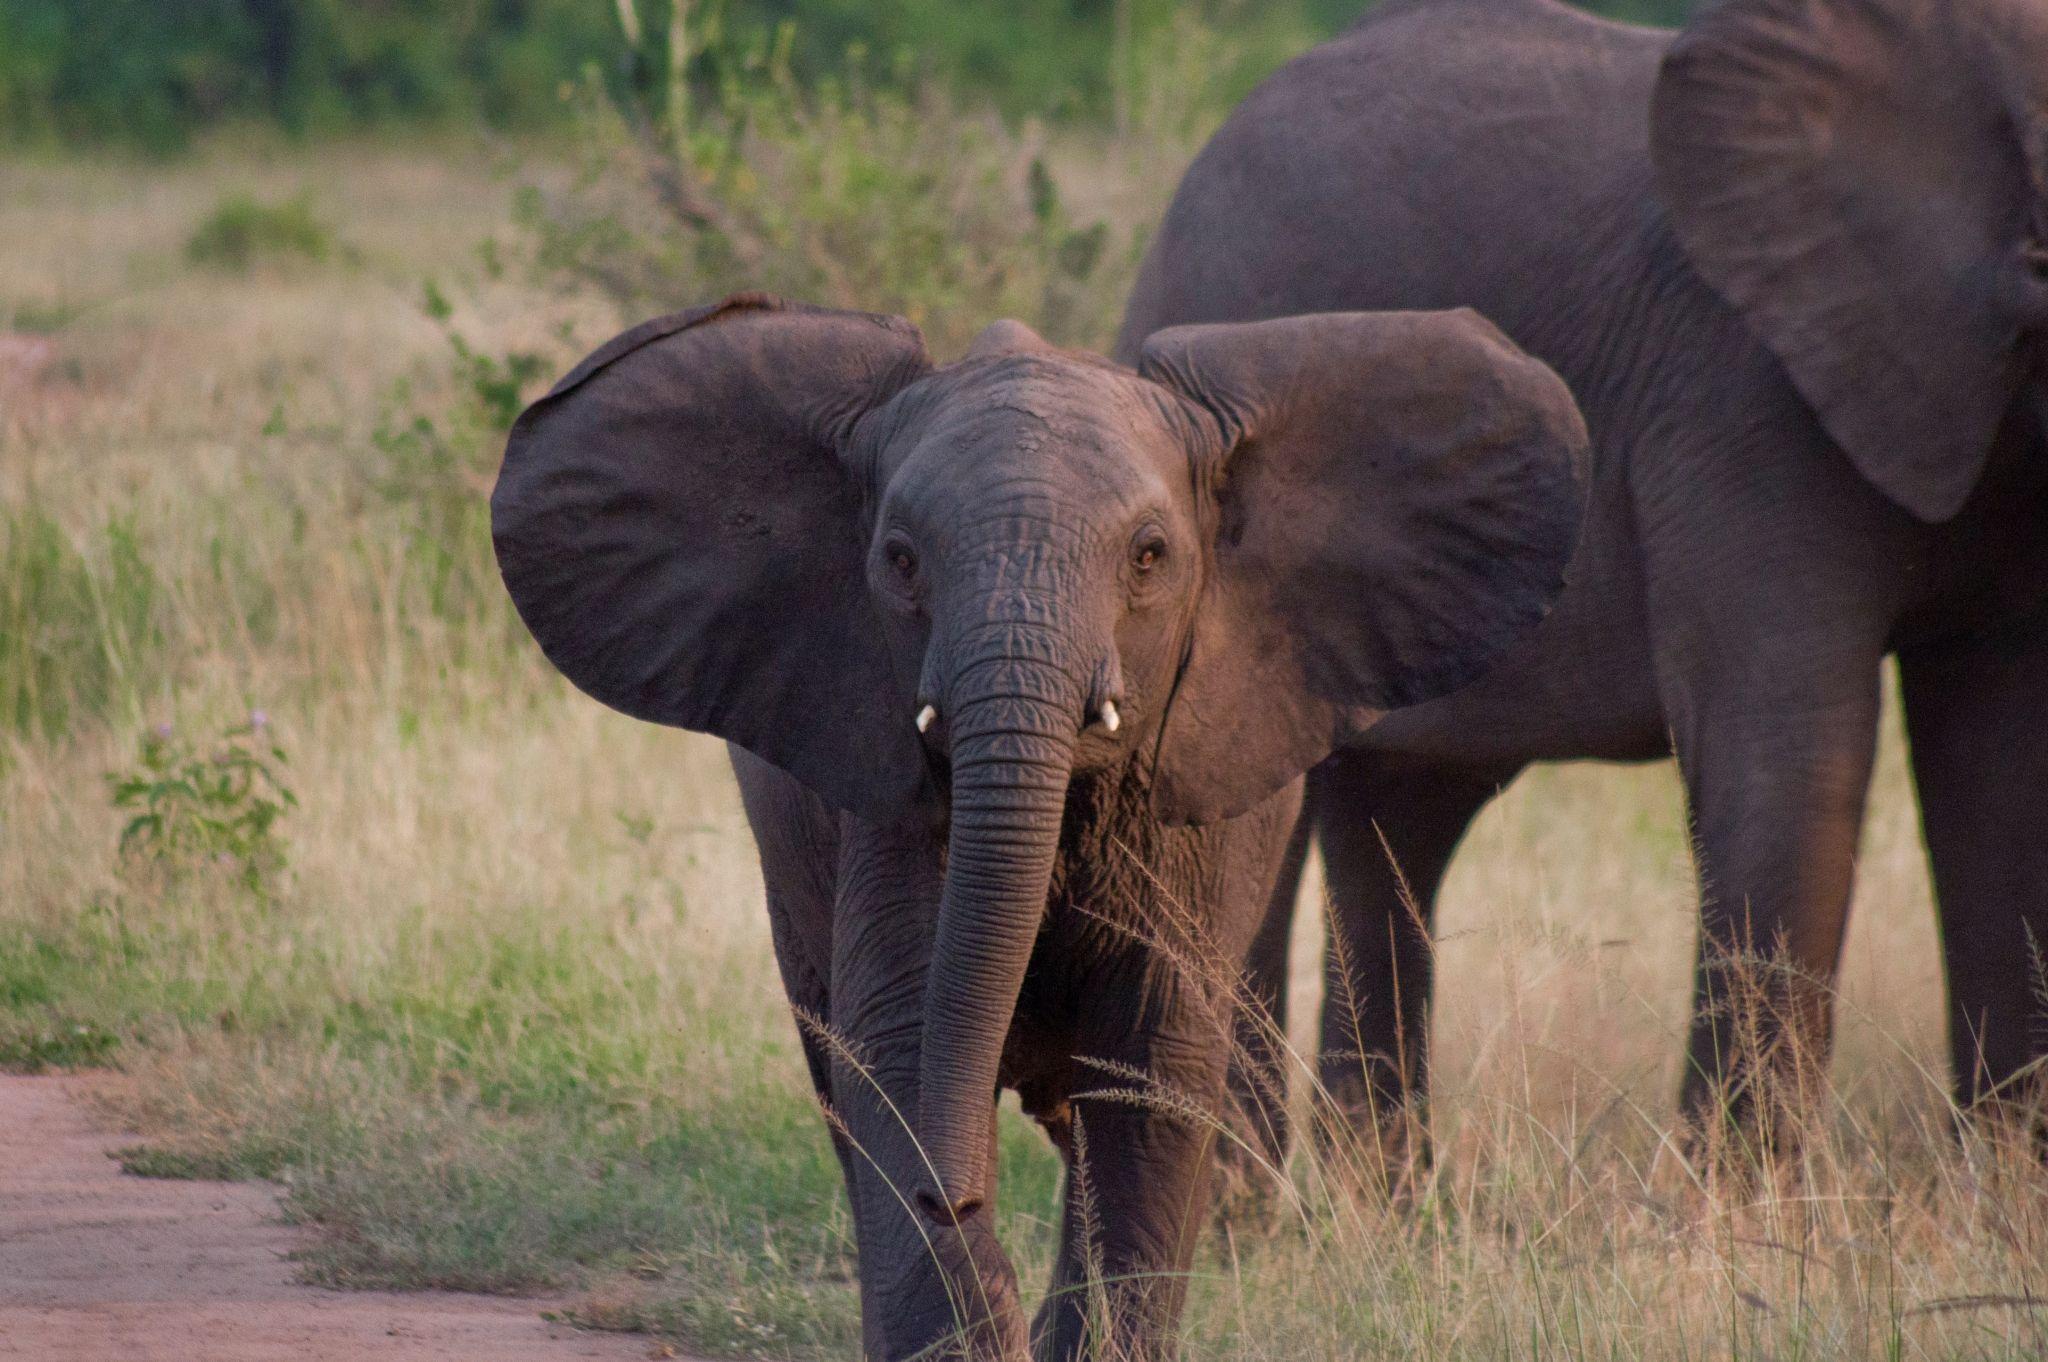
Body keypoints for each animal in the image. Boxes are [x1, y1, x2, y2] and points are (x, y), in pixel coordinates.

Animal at [491, 292, 1588, 1358]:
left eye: (1149, 556)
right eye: (899, 560)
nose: (957, 1194)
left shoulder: (1186, 823)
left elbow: (1151, 1069)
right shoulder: (887, 804)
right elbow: (901, 1051)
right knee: (839, 1083)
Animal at [1119, 0, 2048, 1174]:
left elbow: (1998, 766)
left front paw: (1997, 1181)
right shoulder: (1739, 395)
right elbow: (1789, 748)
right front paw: (1736, 1205)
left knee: (1401, 817)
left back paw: (1373, 1201)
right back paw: (1240, 1202)